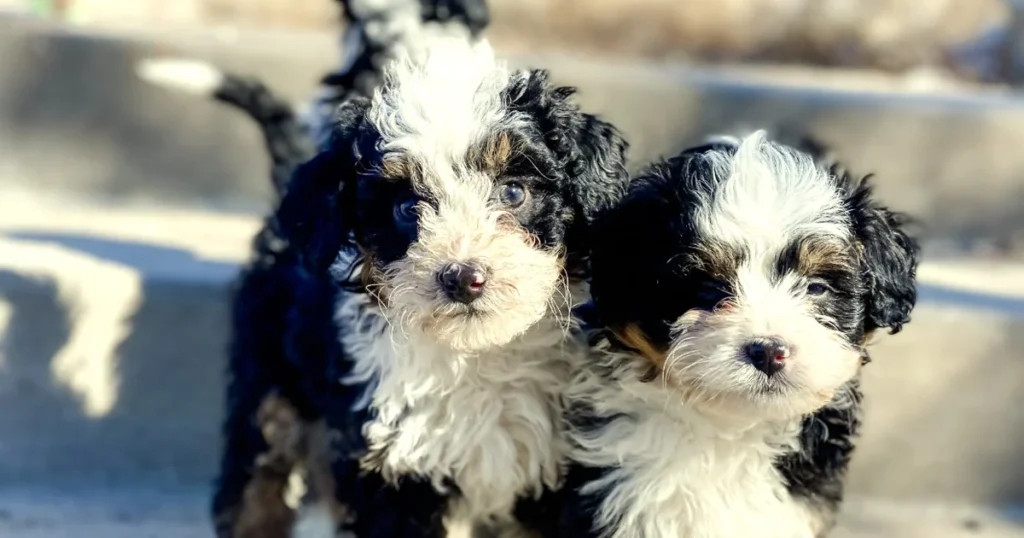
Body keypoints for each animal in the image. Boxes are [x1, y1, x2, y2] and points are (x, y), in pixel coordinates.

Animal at [220, 36, 626, 536]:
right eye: (405, 207)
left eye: (513, 192)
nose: (463, 278)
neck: (476, 355)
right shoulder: (396, 468)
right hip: (270, 384)